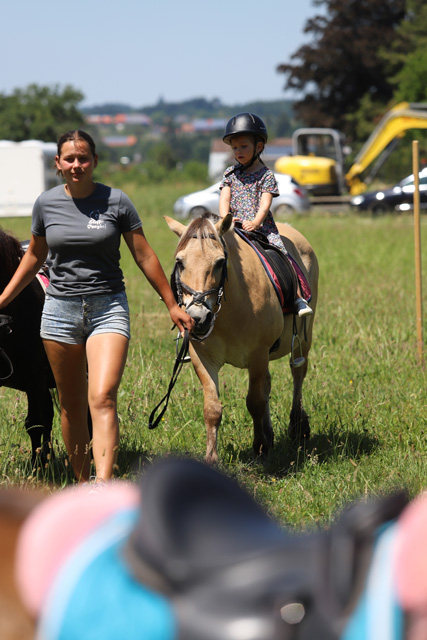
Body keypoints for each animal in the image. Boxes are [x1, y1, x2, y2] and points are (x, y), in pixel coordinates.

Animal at [165, 212, 319, 464]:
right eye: (180, 262)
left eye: (219, 262)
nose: (198, 318)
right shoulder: (203, 359)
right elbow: (212, 409)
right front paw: (212, 458)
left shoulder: (257, 354)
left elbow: (254, 402)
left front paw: (260, 446)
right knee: (267, 384)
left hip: (304, 340)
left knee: (298, 375)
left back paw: (298, 426)